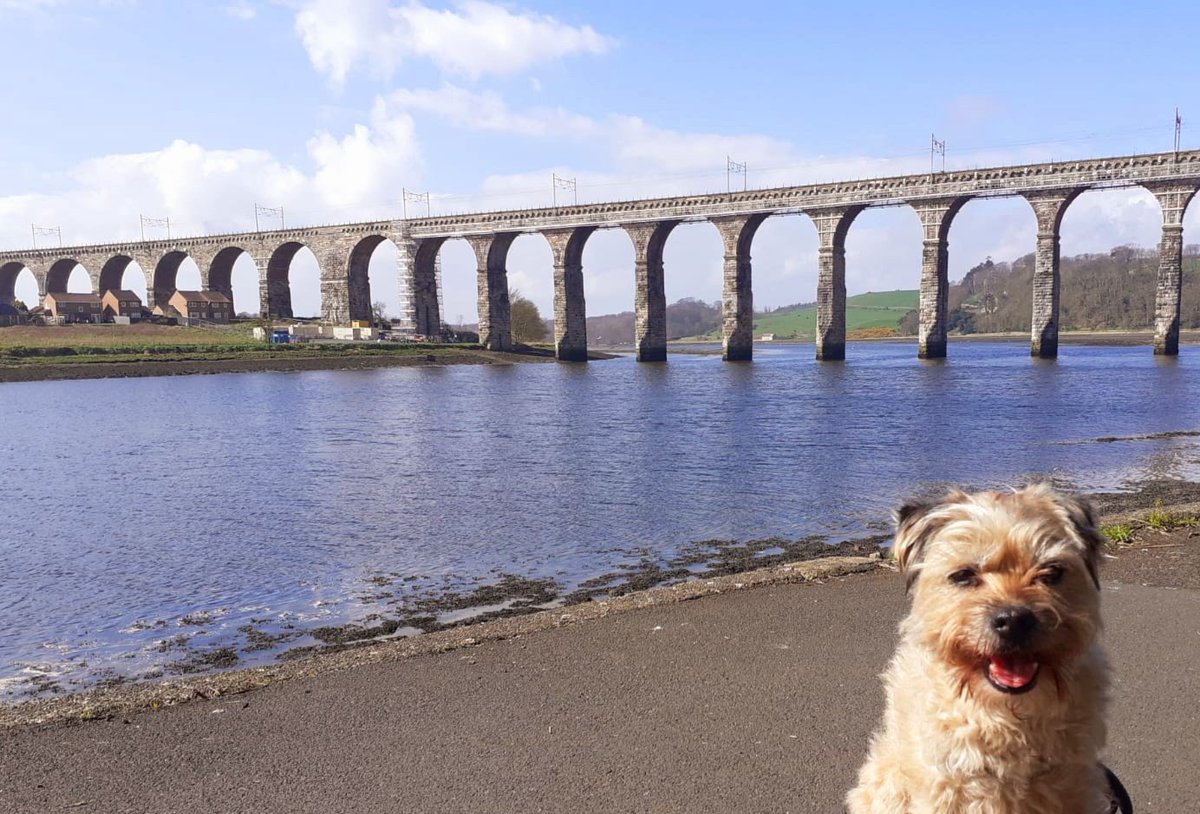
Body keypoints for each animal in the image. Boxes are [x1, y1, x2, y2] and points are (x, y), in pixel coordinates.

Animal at [844, 487, 1113, 811]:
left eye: (1051, 572)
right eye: (963, 575)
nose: (1014, 620)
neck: (1006, 713)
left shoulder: (1073, 785)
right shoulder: (944, 786)